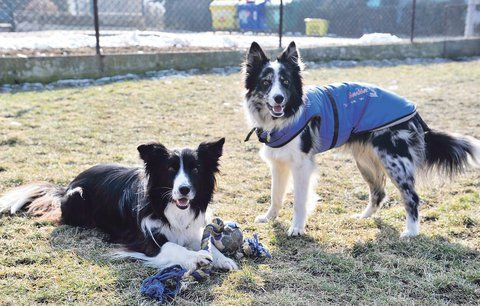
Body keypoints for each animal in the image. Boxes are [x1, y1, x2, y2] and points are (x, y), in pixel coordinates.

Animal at [0, 139, 238, 270]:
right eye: (171, 169)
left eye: (195, 169)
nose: (184, 190)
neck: (165, 205)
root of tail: (66, 187)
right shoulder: (145, 240)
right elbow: (173, 246)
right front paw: (196, 258)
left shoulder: (189, 229)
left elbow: (207, 242)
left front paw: (222, 258)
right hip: (78, 197)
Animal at [244, 41, 480, 237]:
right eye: (265, 82)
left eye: (285, 82)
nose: (278, 98)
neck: (284, 117)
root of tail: (414, 112)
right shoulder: (279, 162)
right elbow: (276, 195)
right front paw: (269, 218)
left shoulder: (302, 165)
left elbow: (299, 201)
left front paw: (297, 228)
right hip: (365, 161)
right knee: (379, 193)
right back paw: (363, 217)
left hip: (394, 162)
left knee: (411, 197)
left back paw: (411, 232)